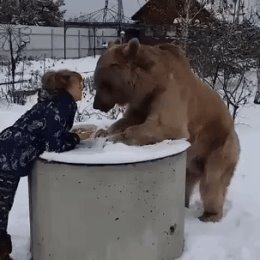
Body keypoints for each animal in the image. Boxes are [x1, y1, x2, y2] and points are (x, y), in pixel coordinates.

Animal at [92, 37, 241, 222]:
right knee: (188, 181)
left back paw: (209, 215)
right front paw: (103, 132)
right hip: (192, 161)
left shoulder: (169, 93)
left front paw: (113, 139)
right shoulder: (142, 103)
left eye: (103, 83)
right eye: (97, 81)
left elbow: (165, 125)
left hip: (219, 146)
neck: (150, 83)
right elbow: (127, 120)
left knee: (212, 182)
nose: (96, 104)